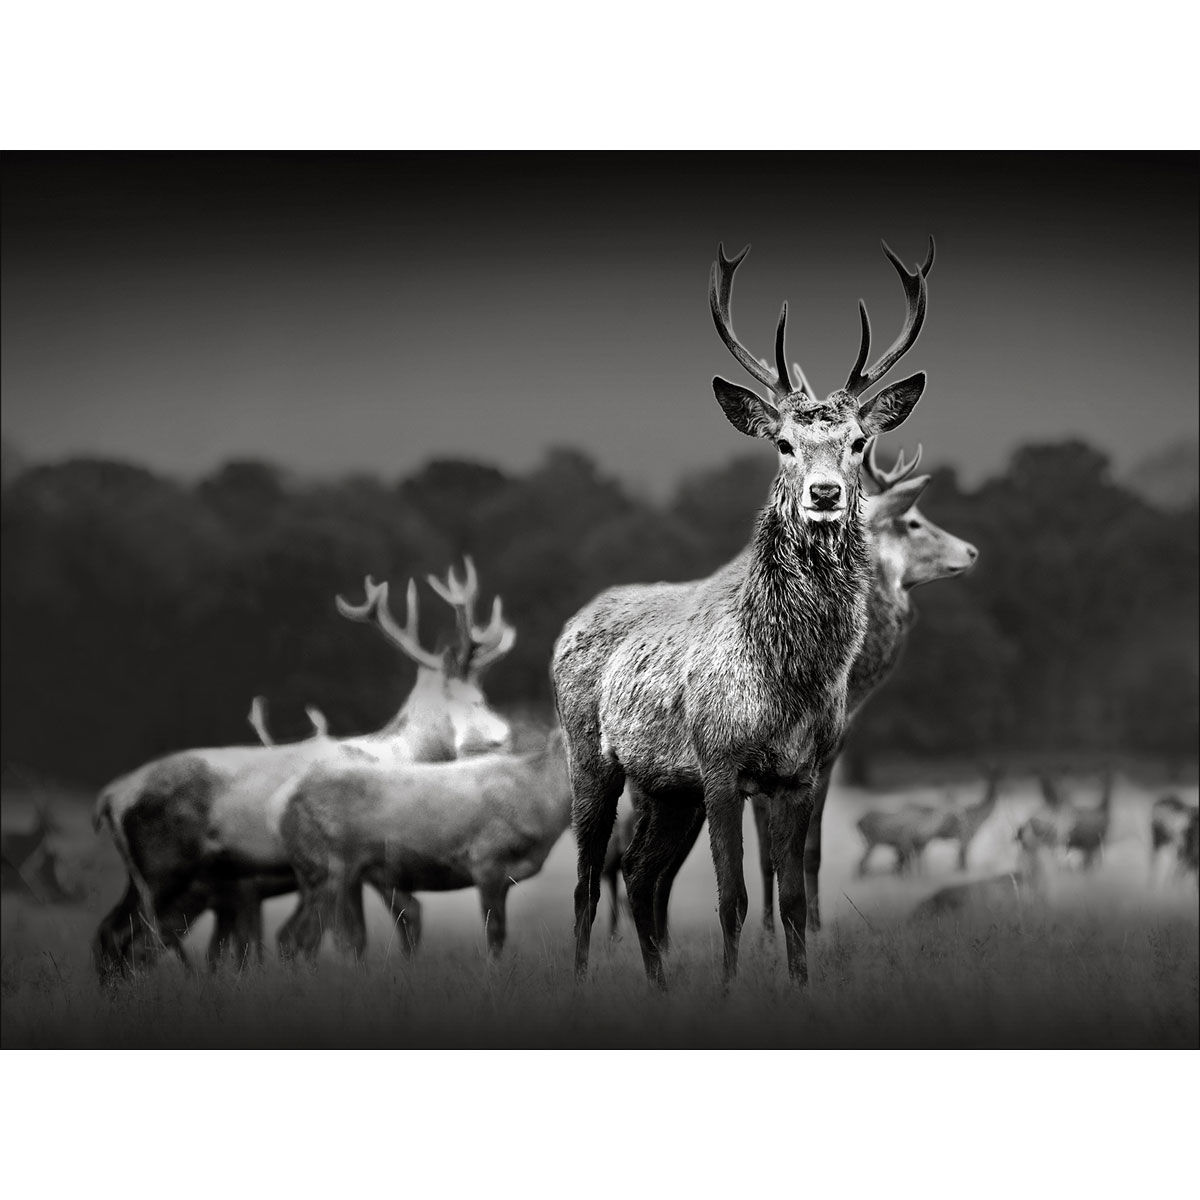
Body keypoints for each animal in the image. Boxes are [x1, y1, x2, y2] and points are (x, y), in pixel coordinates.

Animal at [92, 559, 516, 978]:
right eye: (472, 699)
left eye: (483, 695)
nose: (504, 738)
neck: (399, 757)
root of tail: (111, 798)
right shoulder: (368, 855)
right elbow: (382, 925)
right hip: (164, 868)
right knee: (132, 939)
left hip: (149, 875)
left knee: (112, 934)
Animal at [275, 730, 572, 961]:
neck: (540, 800)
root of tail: (285, 809)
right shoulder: (486, 858)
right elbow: (495, 933)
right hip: (329, 865)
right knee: (307, 936)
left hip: (323, 873)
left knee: (304, 936)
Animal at [553, 237, 935, 986]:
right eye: (783, 442)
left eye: (855, 442)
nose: (824, 493)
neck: (787, 678)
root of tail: (571, 623)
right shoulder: (722, 763)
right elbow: (733, 897)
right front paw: (730, 990)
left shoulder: (797, 774)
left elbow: (791, 899)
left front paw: (800, 984)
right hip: (591, 756)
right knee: (587, 880)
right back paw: (580, 981)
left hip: (667, 787)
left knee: (639, 874)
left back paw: (658, 985)